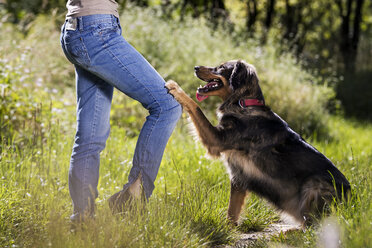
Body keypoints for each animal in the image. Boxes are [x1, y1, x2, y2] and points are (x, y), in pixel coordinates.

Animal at [166, 60, 352, 227]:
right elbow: (232, 211)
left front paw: (176, 88)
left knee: (315, 227)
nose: (196, 67)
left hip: (313, 186)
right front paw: (228, 230)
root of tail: (351, 201)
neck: (243, 104)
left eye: (221, 67)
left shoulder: (217, 140)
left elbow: (196, 107)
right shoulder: (239, 178)